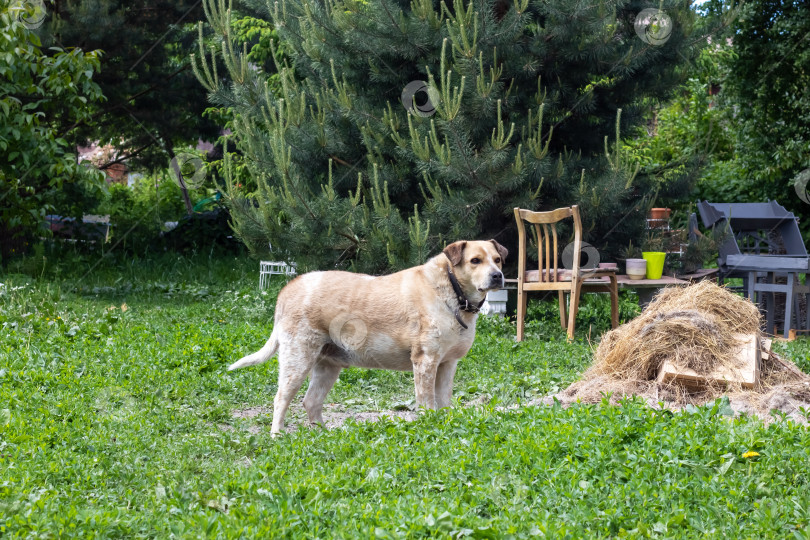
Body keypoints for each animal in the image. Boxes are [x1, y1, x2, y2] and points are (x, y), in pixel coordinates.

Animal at [227, 238, 504, 432]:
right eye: (475, 260)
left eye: (498, 259)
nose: (498, 276)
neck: (452, 292)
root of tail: (287, 289)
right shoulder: (425, 360)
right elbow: (426, 402)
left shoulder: (448, 363)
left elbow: (444, 402)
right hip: (297, 359)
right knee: (281, 399)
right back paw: (277, 435)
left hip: (327, 364)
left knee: (311, 401)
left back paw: (323, 435)